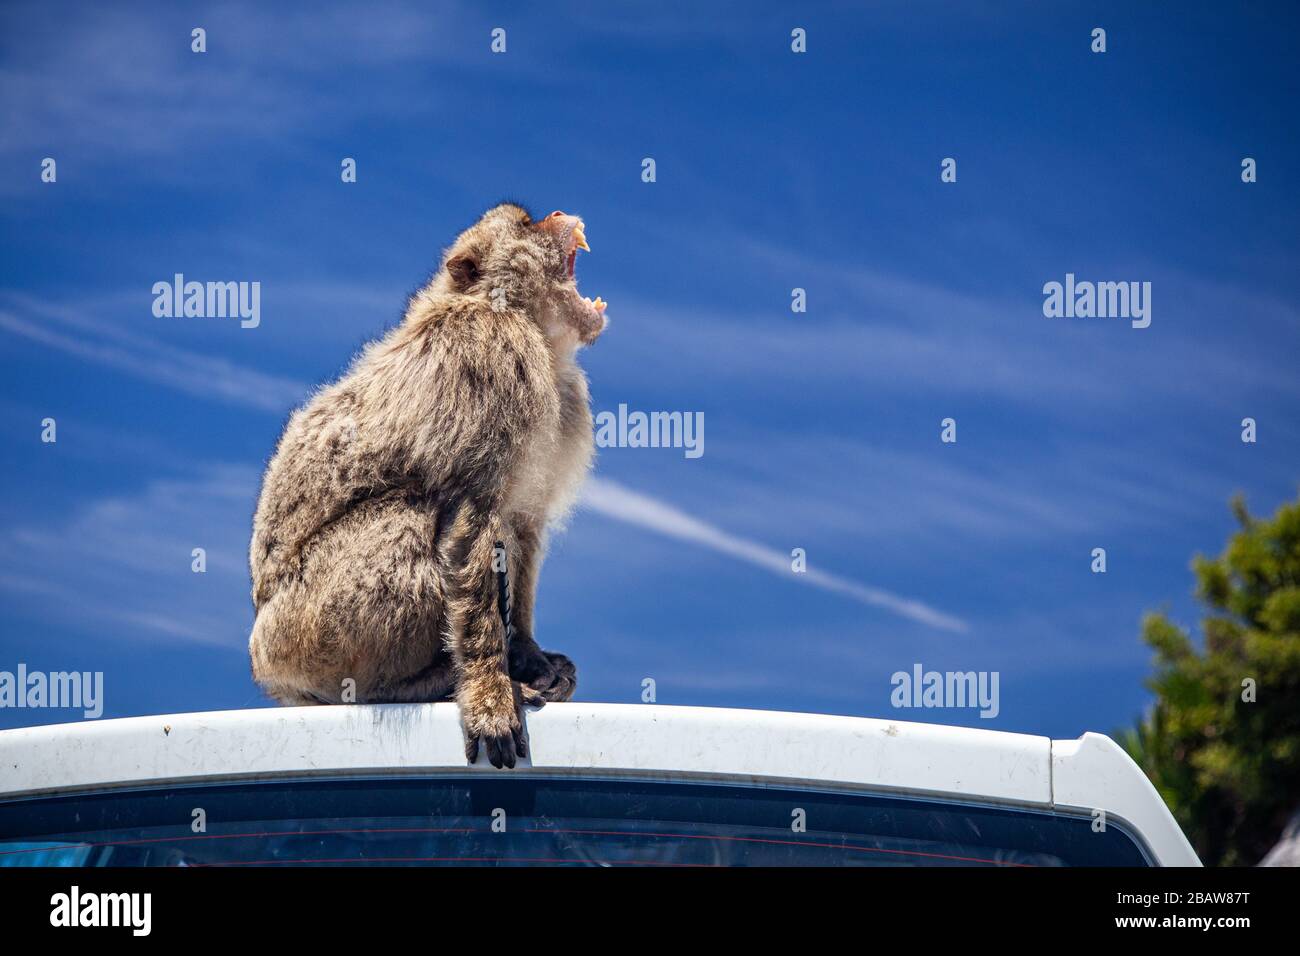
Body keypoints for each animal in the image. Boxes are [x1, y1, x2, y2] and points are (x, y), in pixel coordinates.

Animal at [247, 203, 607, 769]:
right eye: (527, 225)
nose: (556, 213)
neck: (535, 334)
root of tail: (266, 666)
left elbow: (524, 529)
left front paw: (527, 654)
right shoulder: (490, 353)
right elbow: (473, 514)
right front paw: (488, 690)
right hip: (303, 632)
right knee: (411, 511)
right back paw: (420, 683)